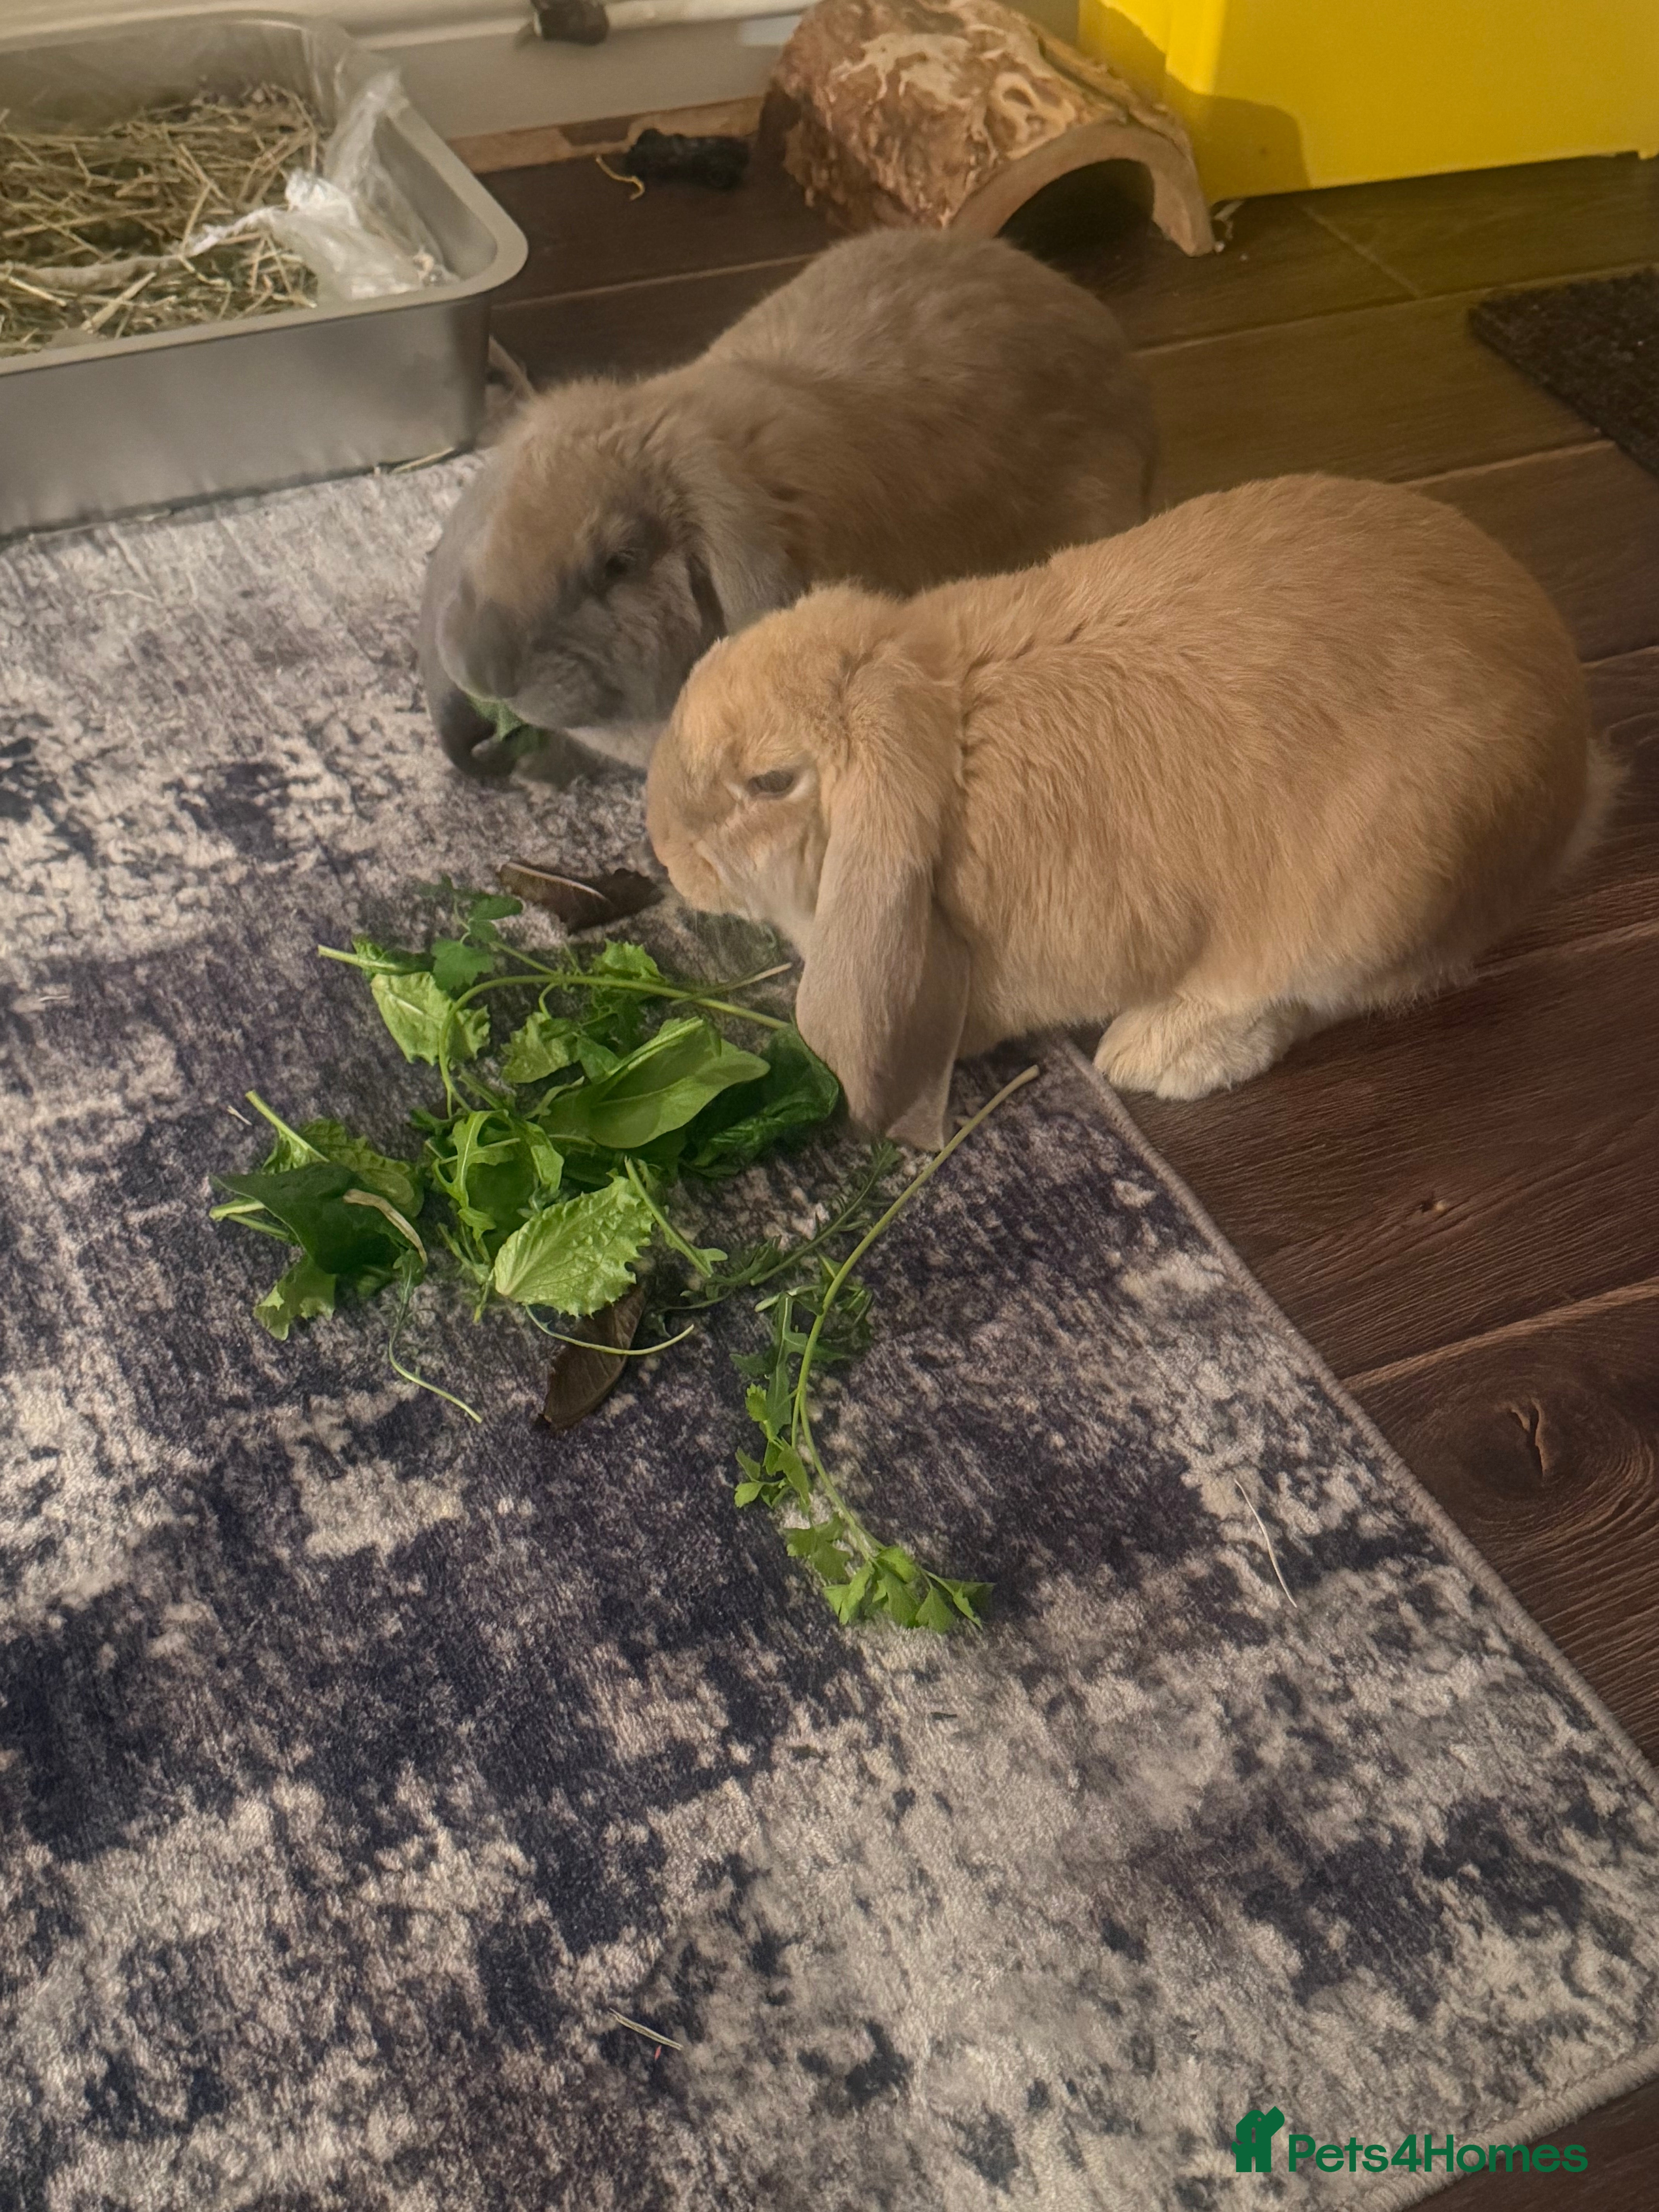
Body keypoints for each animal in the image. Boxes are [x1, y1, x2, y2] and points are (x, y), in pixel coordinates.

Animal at [645, 473, 1617, 1149]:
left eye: (771, 782)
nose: (662, 849)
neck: (941, 724)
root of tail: (1576, 780)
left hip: (1383, 898)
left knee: (1316, 993)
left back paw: (1158, 1054)